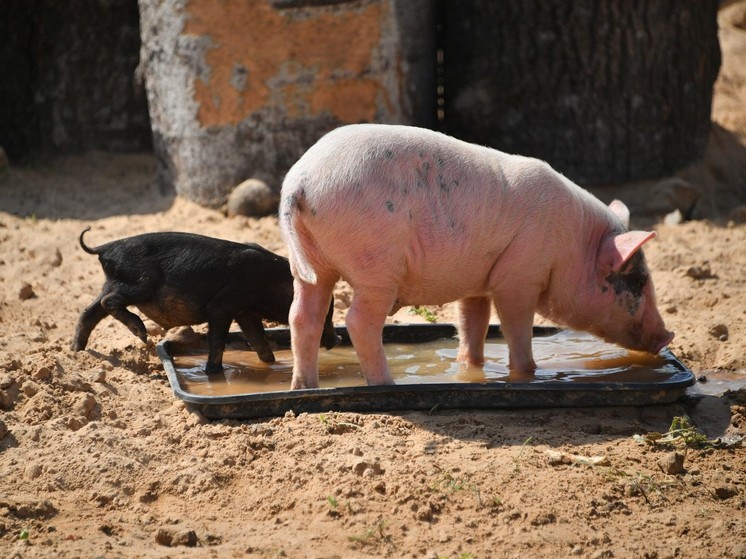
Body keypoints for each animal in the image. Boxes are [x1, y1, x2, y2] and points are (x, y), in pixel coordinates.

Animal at [280, 124, 676, 390]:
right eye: (638, 282)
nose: (668, 336)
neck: (573, 246)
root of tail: (300, 183)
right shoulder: (519, 276)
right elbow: (515, 328)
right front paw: (527, 375)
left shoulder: (478, 282)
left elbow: (475, 324)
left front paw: (470, 369)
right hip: (375, 265)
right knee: (359, 322)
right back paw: (387, 386)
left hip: (309, 266)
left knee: (302, 317)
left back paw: (304, 388)